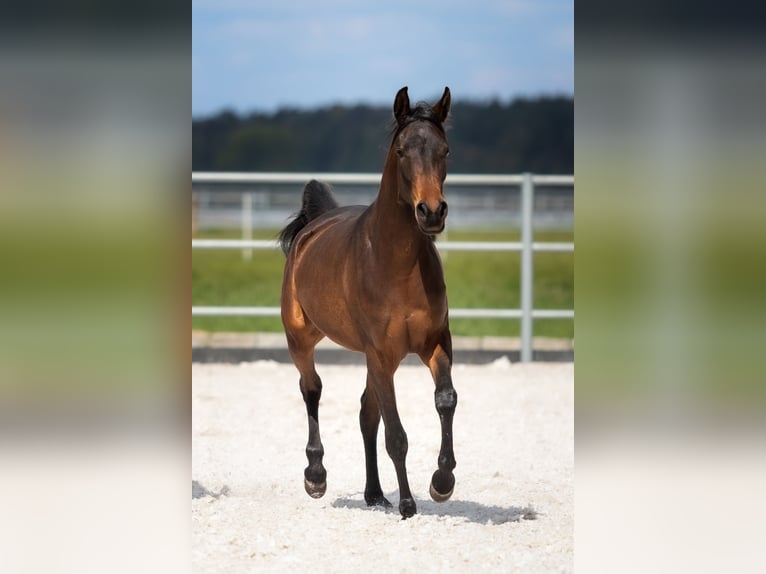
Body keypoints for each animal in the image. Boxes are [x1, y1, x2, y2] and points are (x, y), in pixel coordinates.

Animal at [278, 86, 457, 519]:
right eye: (402, 151)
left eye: (444, 150)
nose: (431, 212)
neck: (395, 264)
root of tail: (314, 223)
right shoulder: (379, 352)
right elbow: (396, 433)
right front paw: (408, 504)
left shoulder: (434, 342)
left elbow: (445, 400)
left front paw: (442, 482)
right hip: (301, 340)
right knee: (312, 389)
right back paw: (316, 477)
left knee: (365, 413)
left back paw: (374, 493)